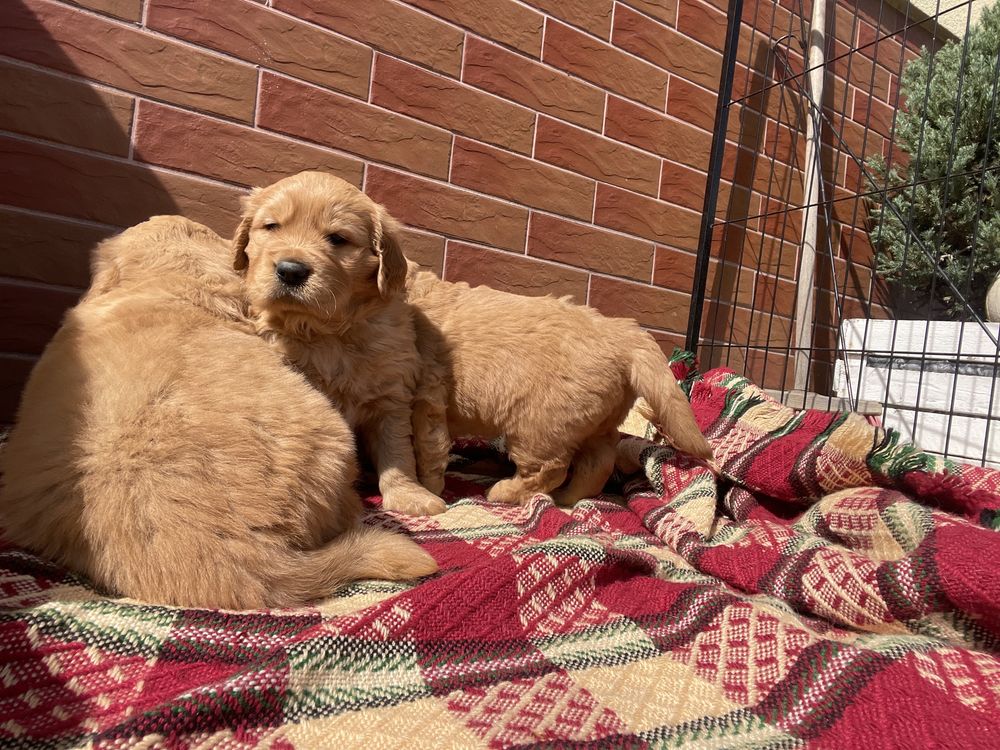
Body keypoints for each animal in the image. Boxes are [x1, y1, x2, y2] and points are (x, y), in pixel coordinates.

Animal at [234, 173, 446, 520]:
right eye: (272, 226)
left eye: (337, 238)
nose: (290, 270)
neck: (327, 331)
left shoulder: (390, 396)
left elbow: (397, 450)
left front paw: (409, 495)